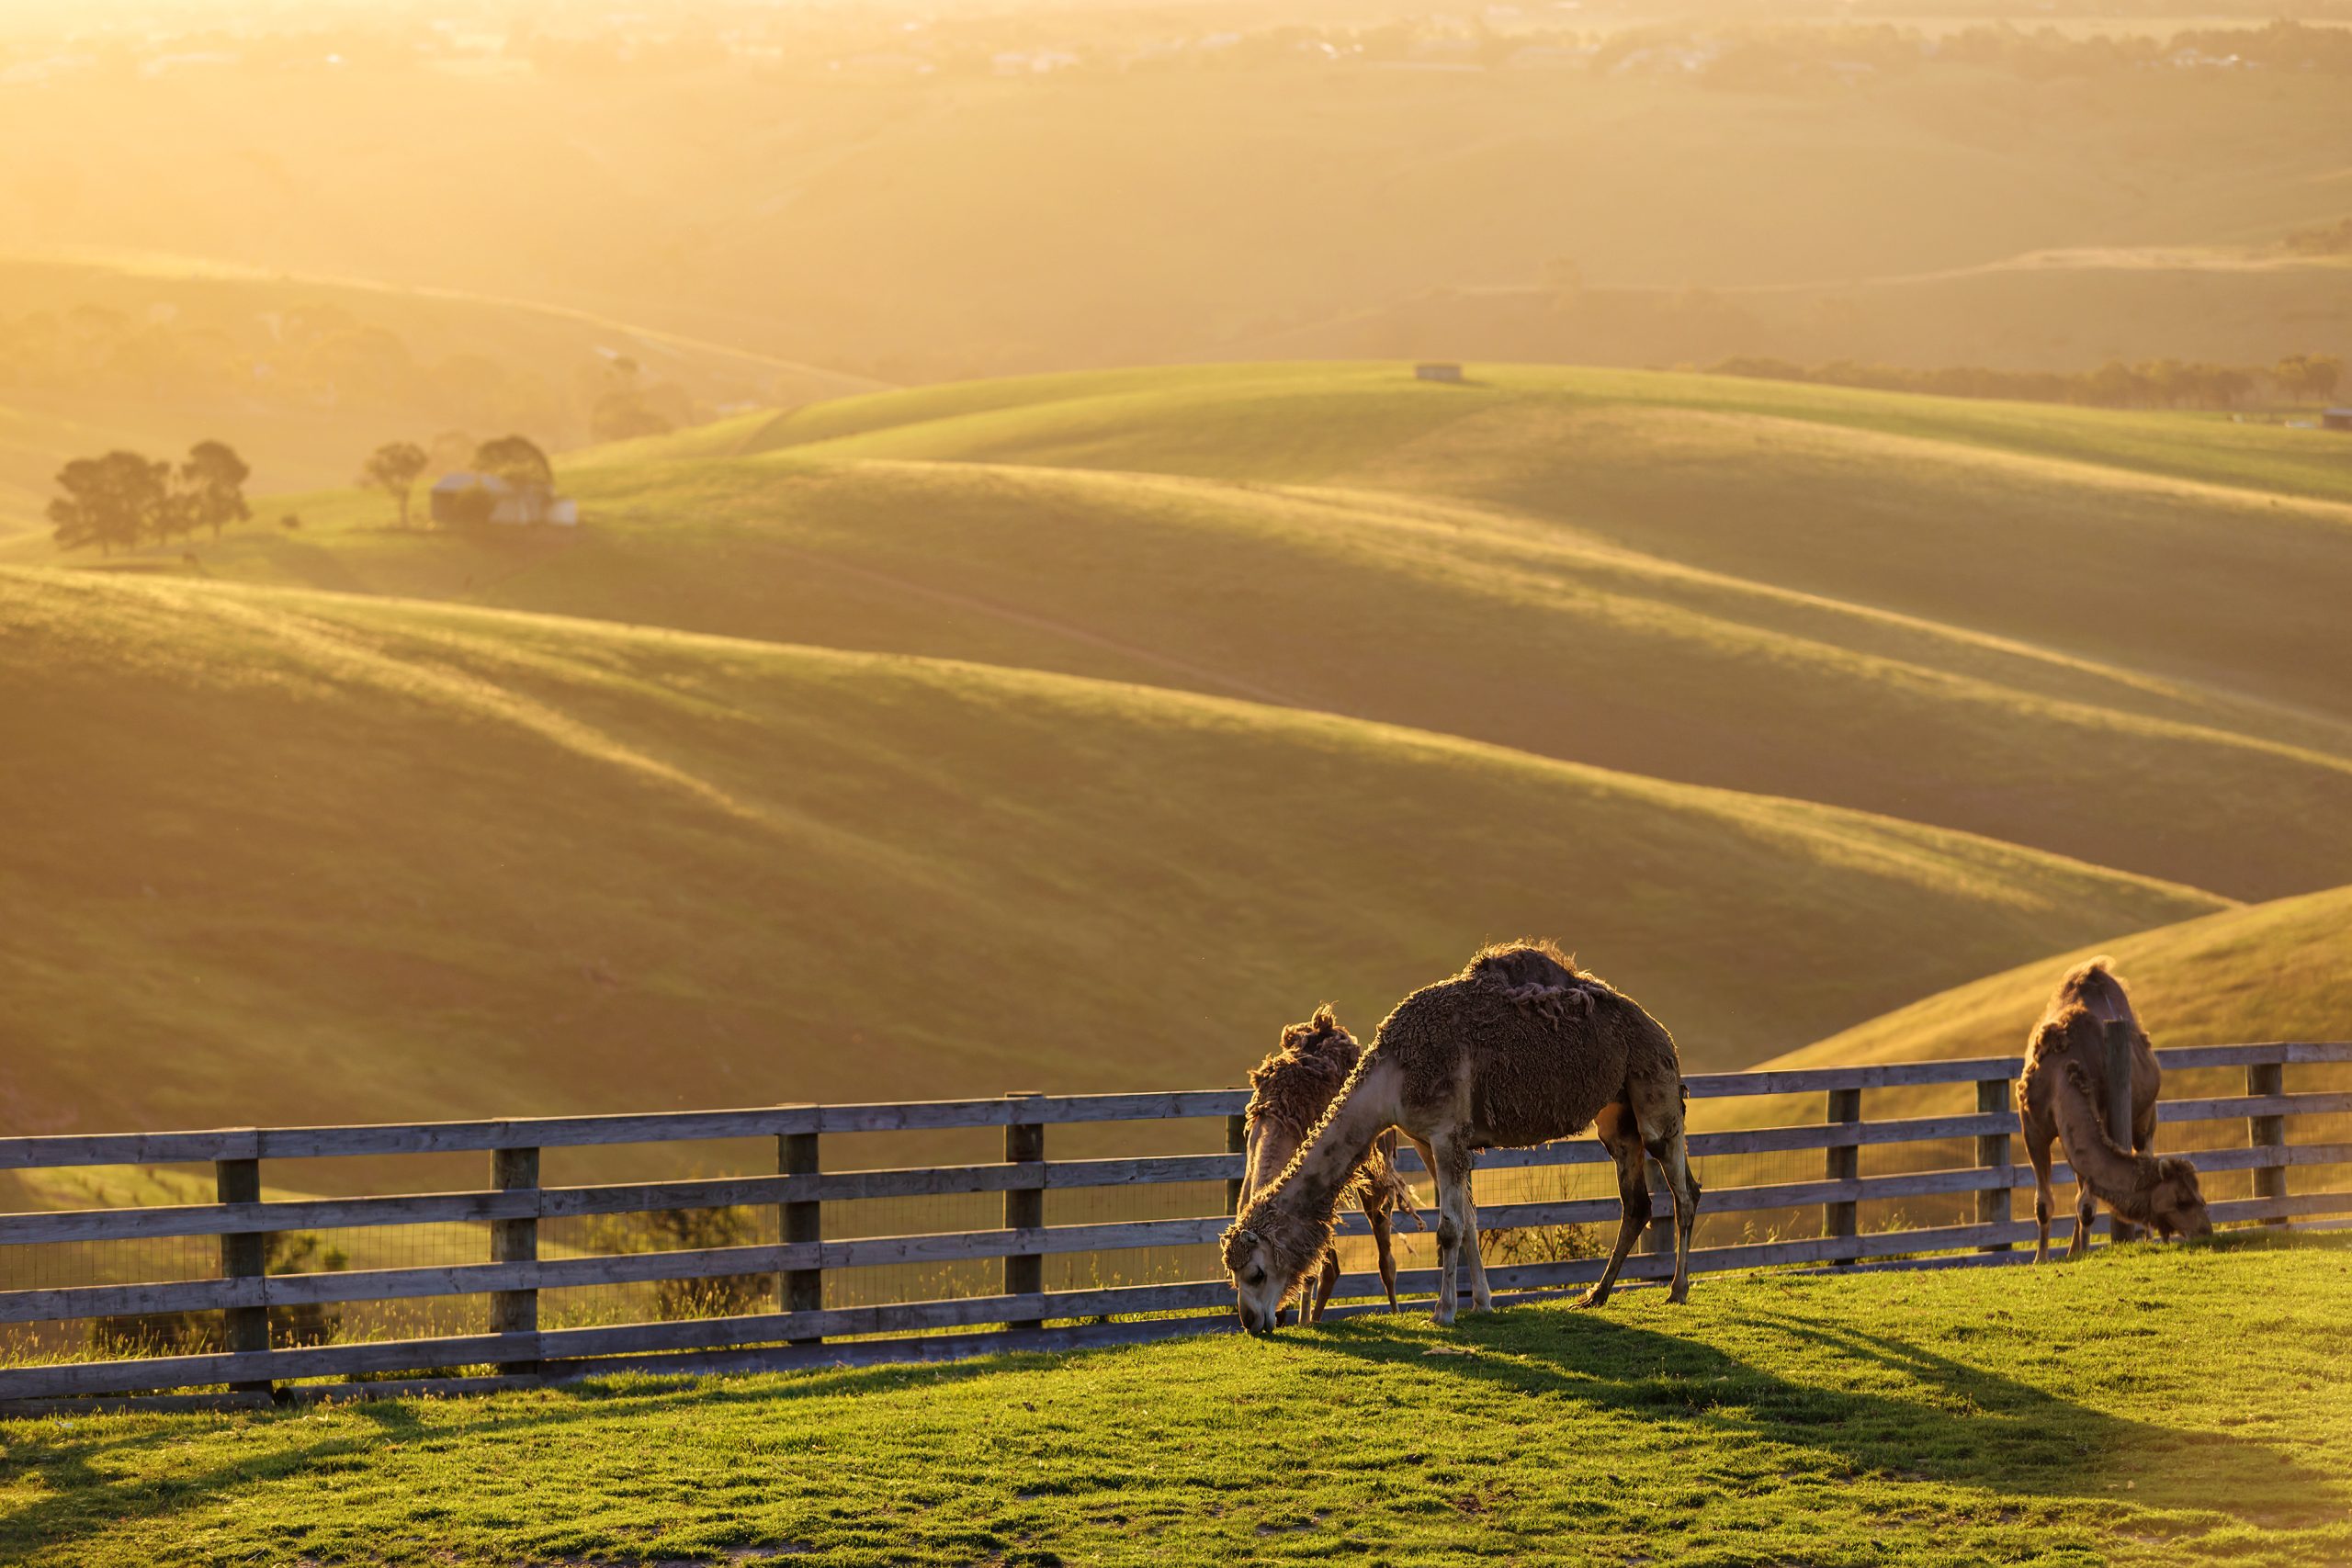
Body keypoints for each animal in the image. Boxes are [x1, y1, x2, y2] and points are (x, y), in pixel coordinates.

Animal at [1236, 1007, 1425, 1323]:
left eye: (1258, 1273)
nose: (1250, 1320)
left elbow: (1320, 1270)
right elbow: (1320, 1265)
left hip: (1375, 1166)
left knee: (1384, 1255)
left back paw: (1395, 1310)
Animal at [2015, 959, 2213, 1262]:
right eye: (2181, 1200)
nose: (2206, 1231)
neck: (2059, 1072)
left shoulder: (2102, 1117)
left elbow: (2086, 1205)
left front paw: (2082, 1253)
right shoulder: (2033, 1129)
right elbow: (2044, 1204)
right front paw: (2042, 1259)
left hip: (2147, 1116)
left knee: (2142, 1148)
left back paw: (2148, 1239)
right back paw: (2072, 1251)